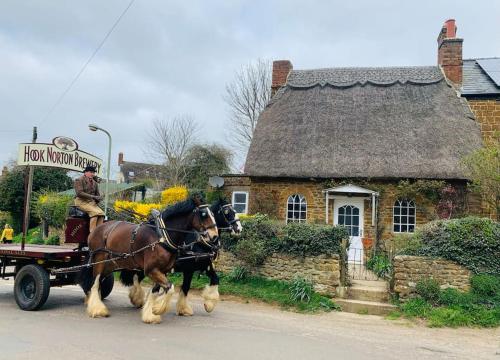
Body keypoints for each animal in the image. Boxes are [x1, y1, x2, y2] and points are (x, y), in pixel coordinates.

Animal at [79, 198, 217, 324]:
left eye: (213, 213)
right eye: (203, 214)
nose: (214, 236)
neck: (161, 236)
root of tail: (97, 228)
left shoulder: (162, 270)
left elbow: (156, 291)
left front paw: (151, 313)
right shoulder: (152, 269)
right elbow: (170, 288)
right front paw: (157, 309)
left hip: (111, 263)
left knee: (97, 282)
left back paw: (91, 301)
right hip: (99, 259)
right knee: (95, 282)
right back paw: (97, 309)